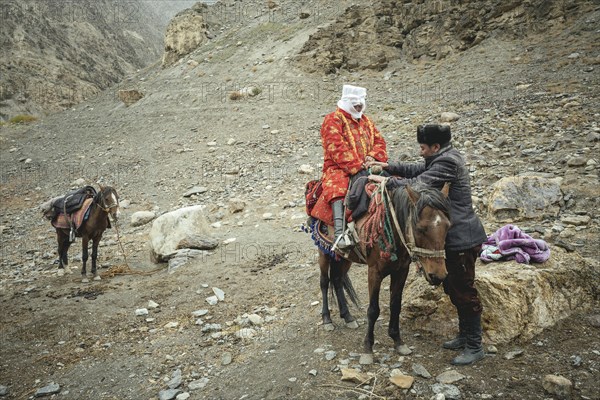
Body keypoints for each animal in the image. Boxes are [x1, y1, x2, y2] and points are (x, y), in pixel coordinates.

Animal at [314, 181, 450, 360]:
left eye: (448, 226)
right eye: (420, 228)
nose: (438, 275)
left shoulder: (401, 271)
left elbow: (395, 305)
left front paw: (398, 341)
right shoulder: (374, 273)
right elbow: (373, 310)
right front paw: (367, 348)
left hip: (343, 257)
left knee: (336, 279)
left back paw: (348, 317)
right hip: (323, 252)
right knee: (324, 282)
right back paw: (327, 319)